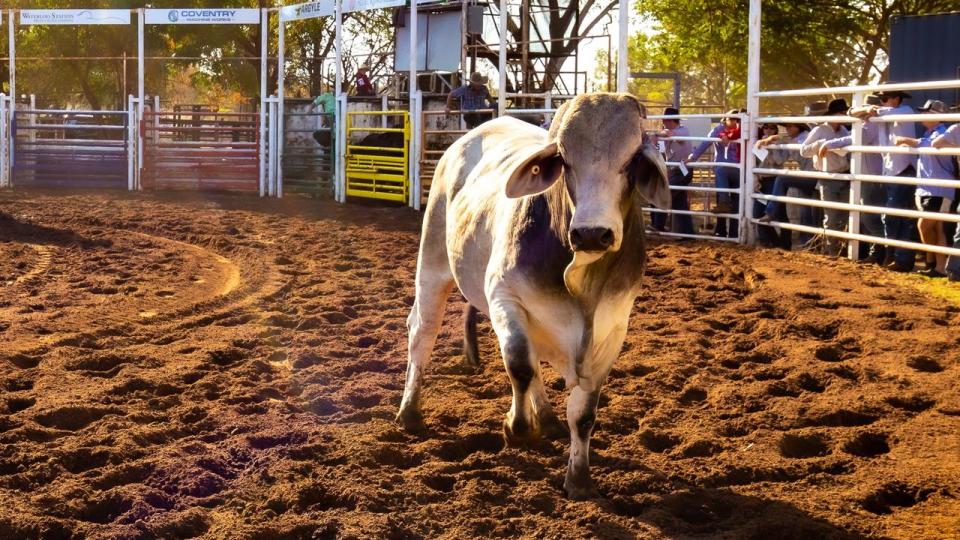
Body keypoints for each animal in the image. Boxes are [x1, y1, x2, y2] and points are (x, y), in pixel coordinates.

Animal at [394, 92, 672, 498]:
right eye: (565, 159)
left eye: (632, 159)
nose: (592, 234)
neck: (580, 278)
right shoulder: (504, 297)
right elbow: (520, 366)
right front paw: (517, 428)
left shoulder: (613, 326)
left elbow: (584, 412)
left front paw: (579, 478)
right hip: (432, 264)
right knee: (422, 334)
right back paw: (410, 411)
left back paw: (549, 417)